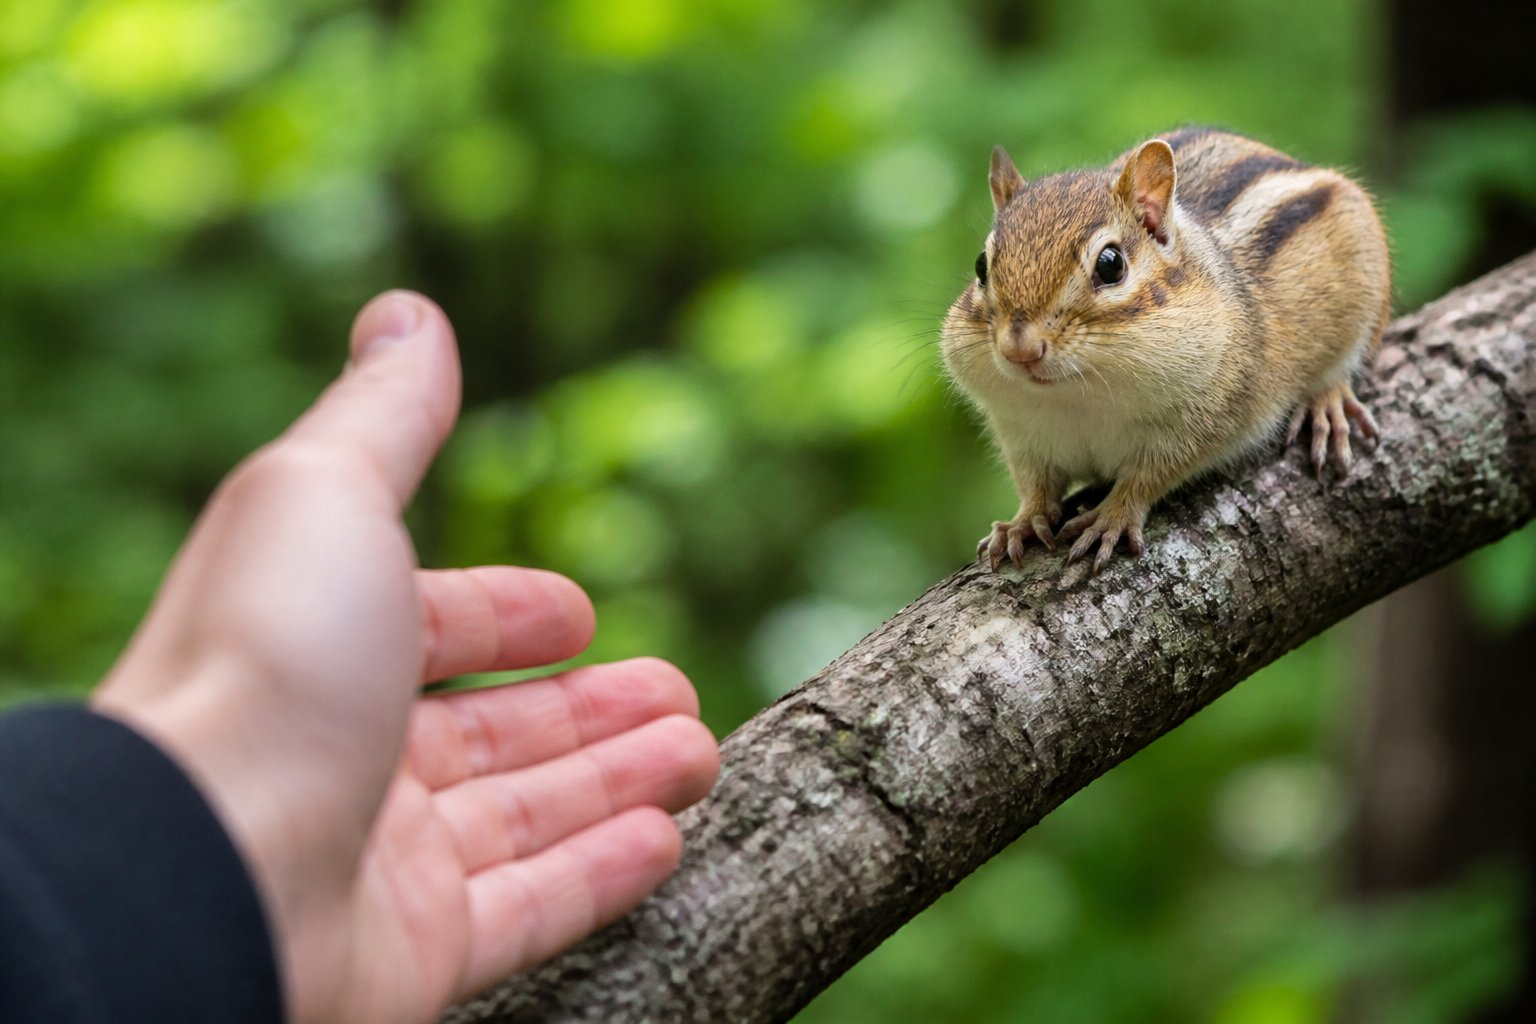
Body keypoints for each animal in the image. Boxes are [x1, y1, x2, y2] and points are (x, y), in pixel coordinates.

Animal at [941, 127, 1390, 574]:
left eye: (1111, 265)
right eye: (981, 266)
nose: (1020, 349)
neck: (1076, 399)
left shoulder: (1205, 418)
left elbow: (1149, 476)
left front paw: (1112, 518)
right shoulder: (1019, 434)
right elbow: (1035, 484)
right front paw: (1022, 521)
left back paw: (1327, 403)